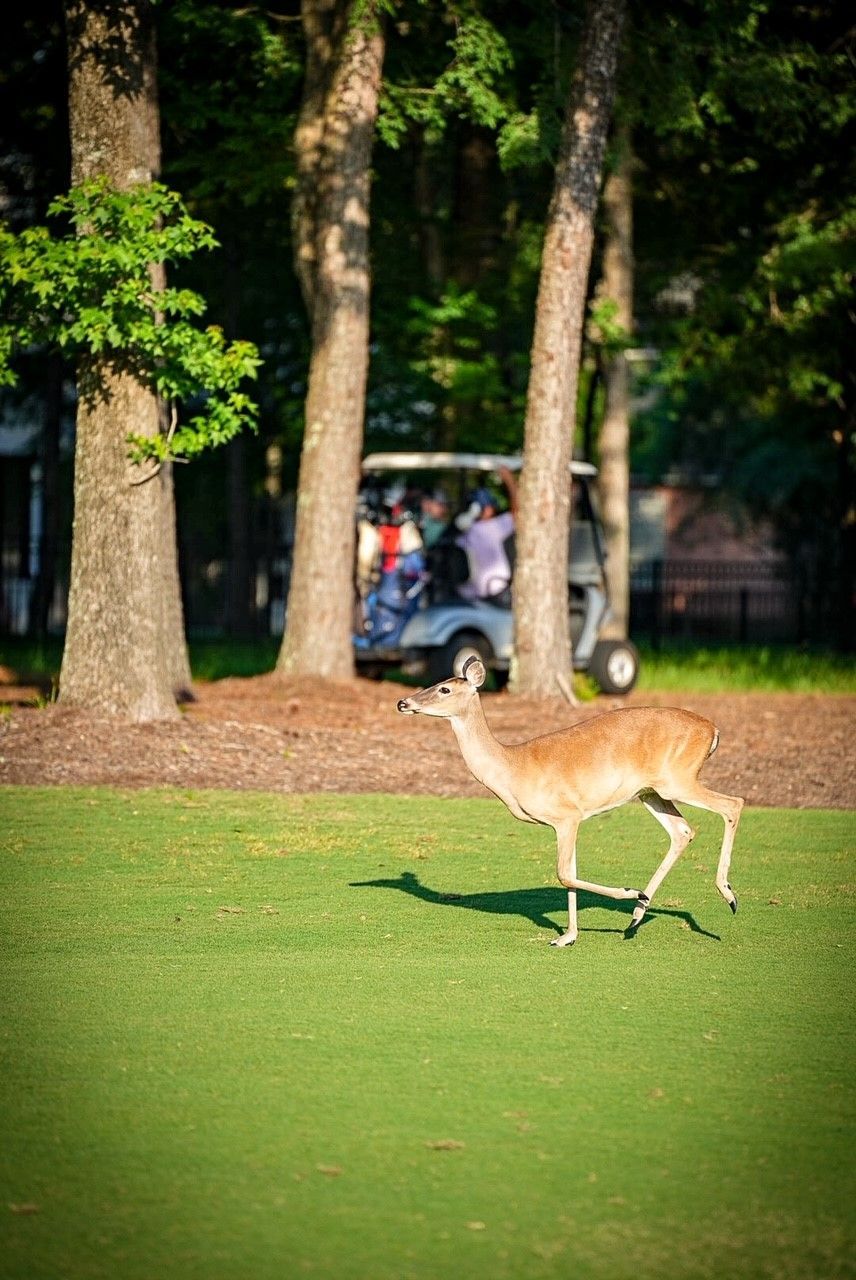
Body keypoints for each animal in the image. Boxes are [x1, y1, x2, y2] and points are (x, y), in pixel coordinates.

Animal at [396, 652, 744, 947]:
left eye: (444, 688)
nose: (402, 702)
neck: (512, 767)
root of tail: (713, 730)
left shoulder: (566, 815)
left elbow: (563, 874)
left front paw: (628, 891)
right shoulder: (572, 820)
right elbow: (571, 875)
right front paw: (568, 937)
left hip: (677, 779)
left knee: (733, 803)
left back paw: (726, 896)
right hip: (650, 792)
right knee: (683, 831)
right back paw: (636, 916)